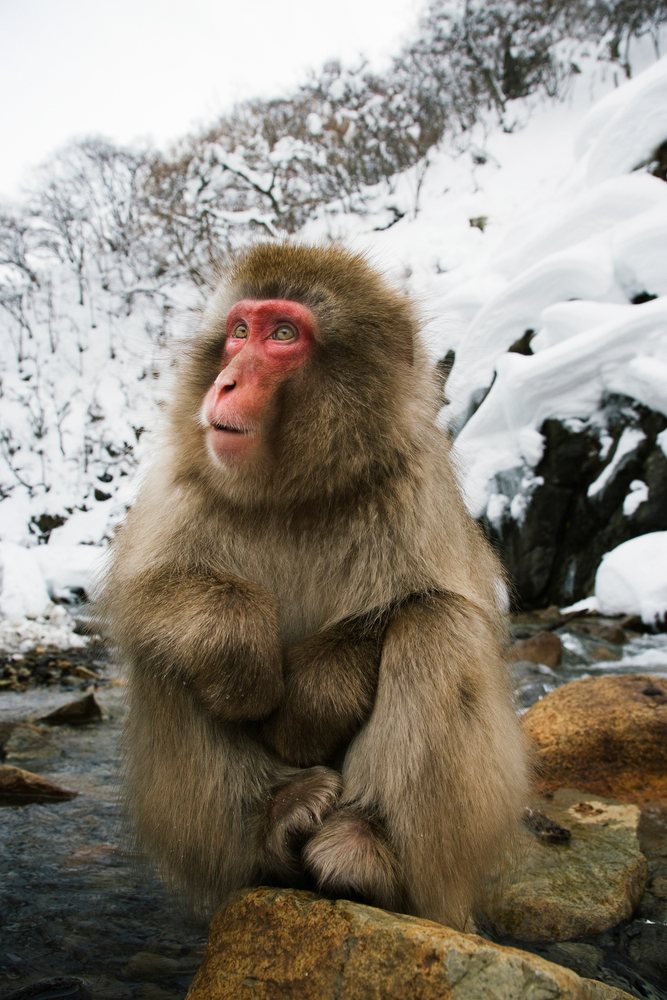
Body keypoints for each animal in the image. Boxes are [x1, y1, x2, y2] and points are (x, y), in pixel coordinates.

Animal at [99, 242, 528, 930]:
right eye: (238, 331)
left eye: (282, 335)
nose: (225, 382)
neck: (294, 495)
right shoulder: (185, 483)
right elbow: (147, 590)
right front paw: (241, 652)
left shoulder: (413, 485)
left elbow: (433, 601)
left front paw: (309, 707)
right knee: (164, 646)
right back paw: (277, 809)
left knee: (438, 629)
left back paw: (363, 847)